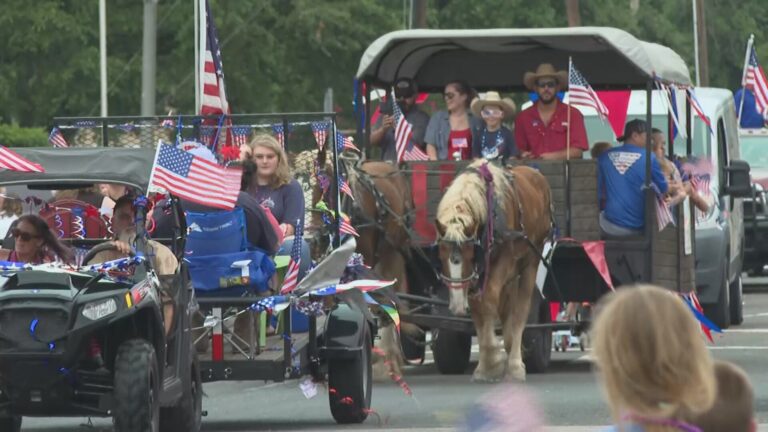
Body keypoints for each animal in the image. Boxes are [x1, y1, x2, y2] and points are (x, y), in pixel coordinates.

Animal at [436, 159, 548, 382]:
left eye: (470, 256)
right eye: (441, 257)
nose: (457, 307)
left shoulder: (503, 260)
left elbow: (488, 300)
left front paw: (494, 360)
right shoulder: (478, 274)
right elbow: (478, 308)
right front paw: (486, 364)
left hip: (530, 260)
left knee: (520, 311)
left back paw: (515, 364)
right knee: (507, 309)